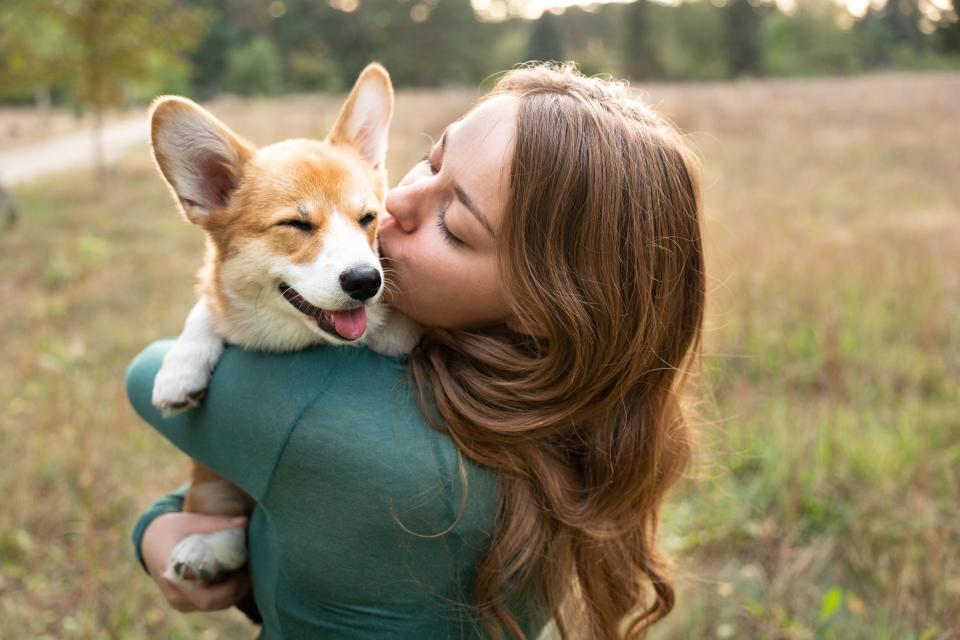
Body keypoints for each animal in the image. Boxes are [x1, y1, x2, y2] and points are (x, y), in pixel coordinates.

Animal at [146, 63, 420, 584]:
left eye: (368, 218)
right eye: (296, 225)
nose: (366, 281)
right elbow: (206, 308)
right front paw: (179, 371)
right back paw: (205, 551)